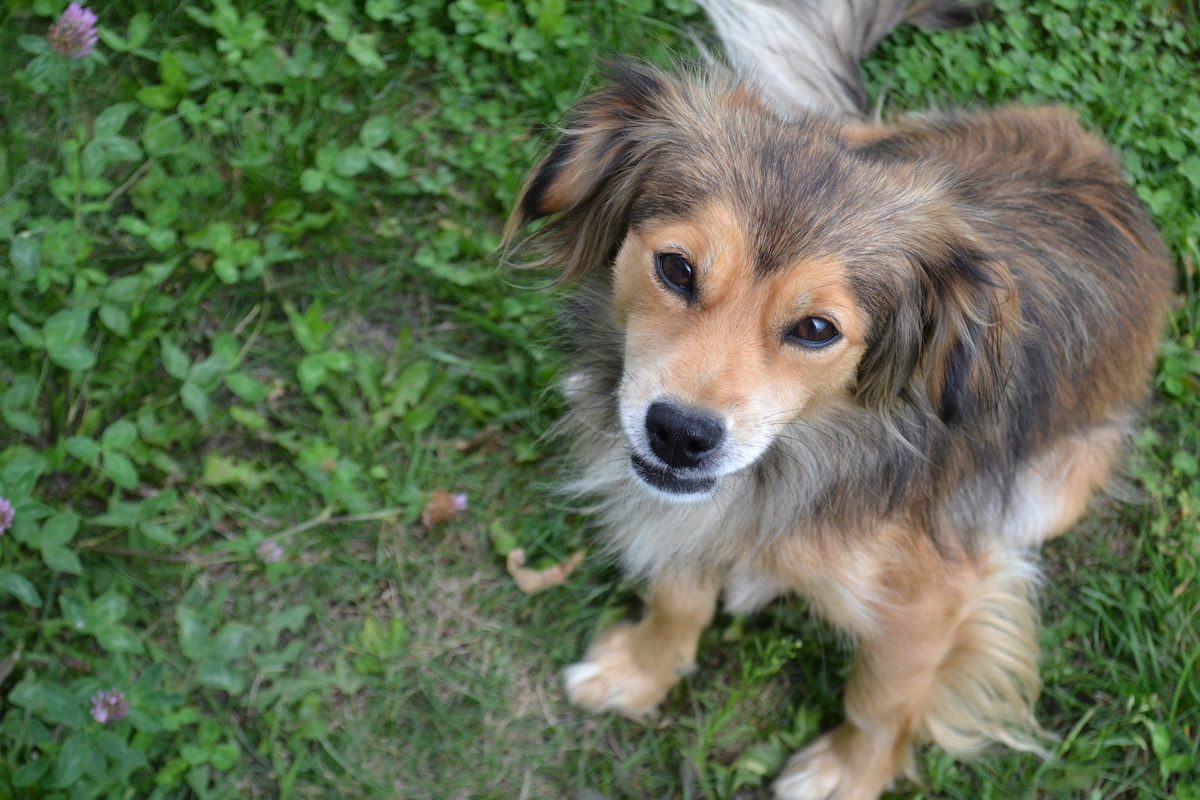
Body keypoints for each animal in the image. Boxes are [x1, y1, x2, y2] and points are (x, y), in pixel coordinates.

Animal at [501, 3, 1176, 796]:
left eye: (817, 329)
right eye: (675, 267)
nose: (679, 435)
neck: (797, 451)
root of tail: (1112, 172)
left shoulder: (937, 596)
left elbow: (881, 700)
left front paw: (846, 774)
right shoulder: (684, 509)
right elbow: (676, 595)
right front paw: (642, 669)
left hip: (1054, 490)